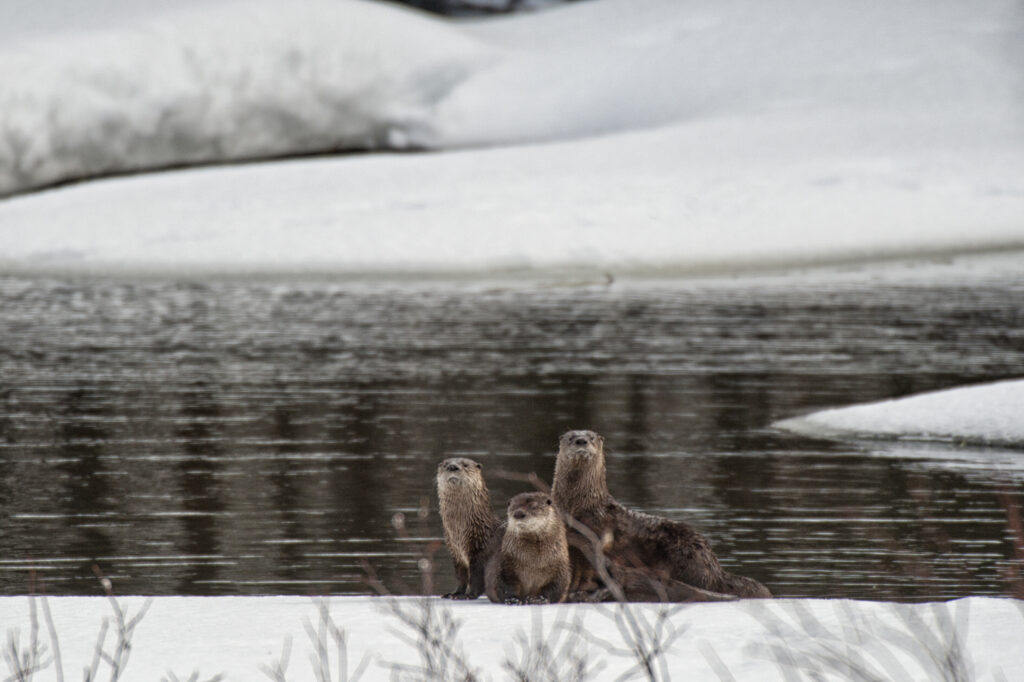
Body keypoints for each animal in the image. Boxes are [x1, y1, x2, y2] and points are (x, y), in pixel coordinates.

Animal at [436, 457, 503, 599]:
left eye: (465, 464)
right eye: (445, 464)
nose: (452, 467)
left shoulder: (482, 551)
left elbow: (476, 577)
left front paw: (469, 595)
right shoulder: (455, 552)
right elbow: (461, 576)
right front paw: (454, 593)